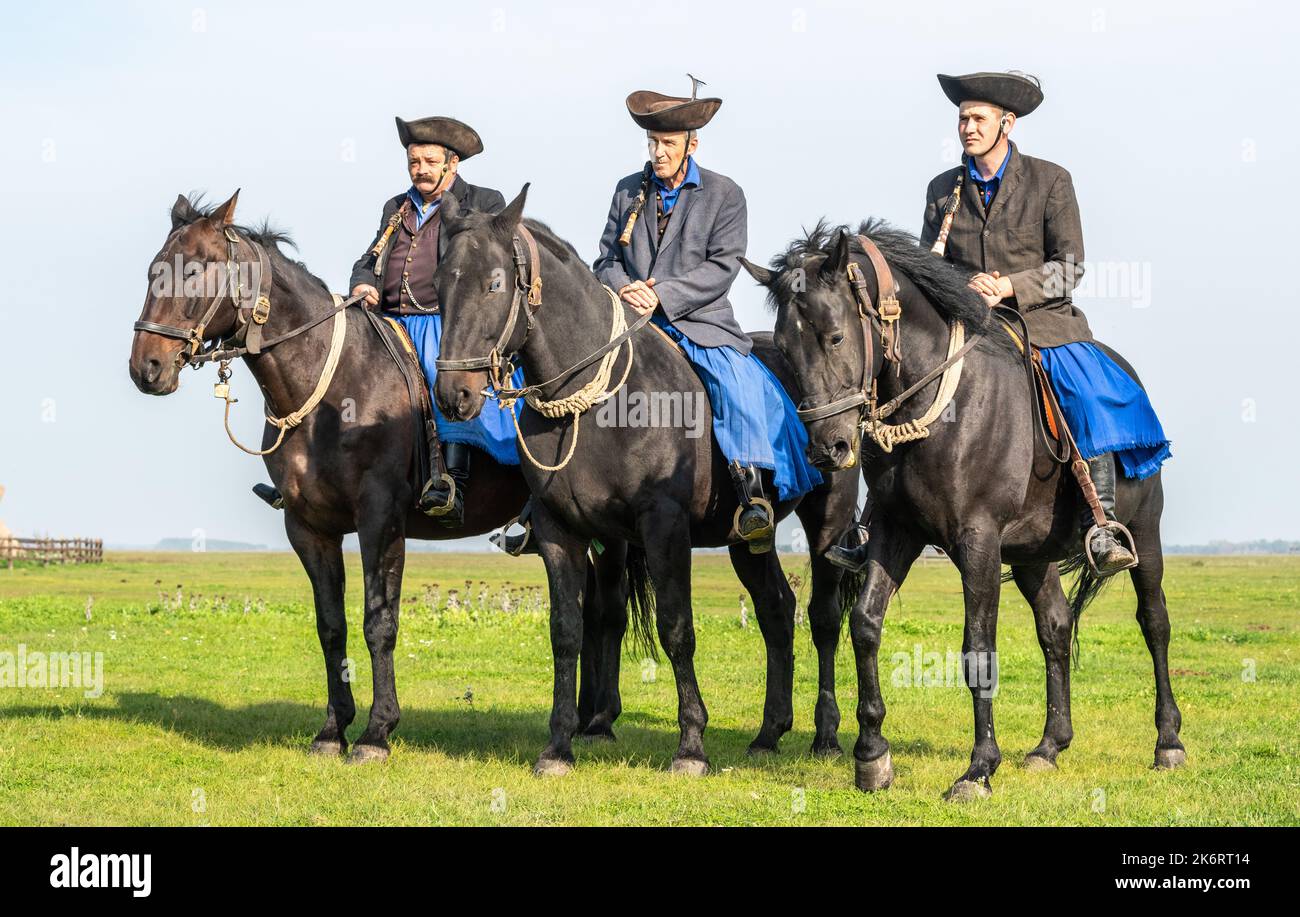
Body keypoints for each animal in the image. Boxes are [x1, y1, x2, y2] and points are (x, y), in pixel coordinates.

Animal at [434, 189, 863, 775]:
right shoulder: (561, 531)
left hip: (829, 519)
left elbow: (676, 628)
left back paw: (825, 735)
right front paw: (559, 745)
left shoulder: (663, 527)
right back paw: (769, 732)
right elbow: (568, 631)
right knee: (777, 610)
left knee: (822, 618)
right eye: (439, 285)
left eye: (495, 284)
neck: (595, 406)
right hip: (748, 538)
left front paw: (691, 745)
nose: (453, 393)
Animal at [743, 219, 1180, 796]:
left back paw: (1168, 742)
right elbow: (865, 624)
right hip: (1033, 556)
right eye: (784, 351)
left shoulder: (978, 543)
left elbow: (978, 649)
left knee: (1154, 622)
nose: (826, 449)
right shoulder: (896, 531)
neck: (946, 405)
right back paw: (1050, 745)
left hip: (1143, 533)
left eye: (835, 335)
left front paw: (979, 768)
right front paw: (872, 755)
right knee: (1056, 627)